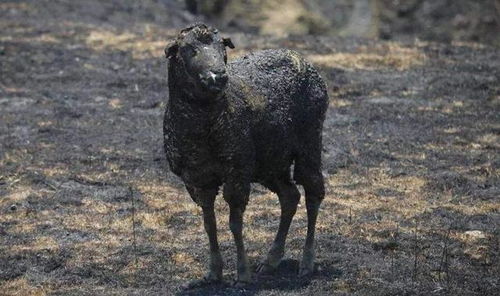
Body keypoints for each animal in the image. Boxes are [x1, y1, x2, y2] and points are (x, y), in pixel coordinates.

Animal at [163, 23, 328, 286]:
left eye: (222, 47)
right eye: (188, 49)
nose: (218, 76)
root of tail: (299, 56)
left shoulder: (237, 170)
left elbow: (235, 224)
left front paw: (242, 274)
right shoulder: (196, 179)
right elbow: (209, 223)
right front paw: (214, 272)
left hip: (309, 141)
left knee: (313, 193)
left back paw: (306, 262)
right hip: (270, 160)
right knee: (290, 196)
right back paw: (270, 260)